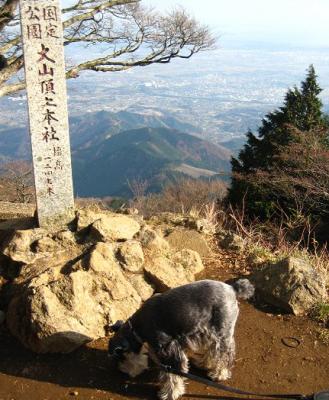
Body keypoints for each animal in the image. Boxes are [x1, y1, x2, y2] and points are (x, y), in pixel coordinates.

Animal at [107, 278, 254, 400]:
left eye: (121, 357)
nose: (121, 370)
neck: (137, 328)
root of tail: (232, 288)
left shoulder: (169, 352)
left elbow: (172, 377)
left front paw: (170, 394)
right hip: (207, 331)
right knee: (212, 350)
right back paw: (204, 363)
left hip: (222, 333)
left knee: (225, 355)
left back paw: (219, 374)